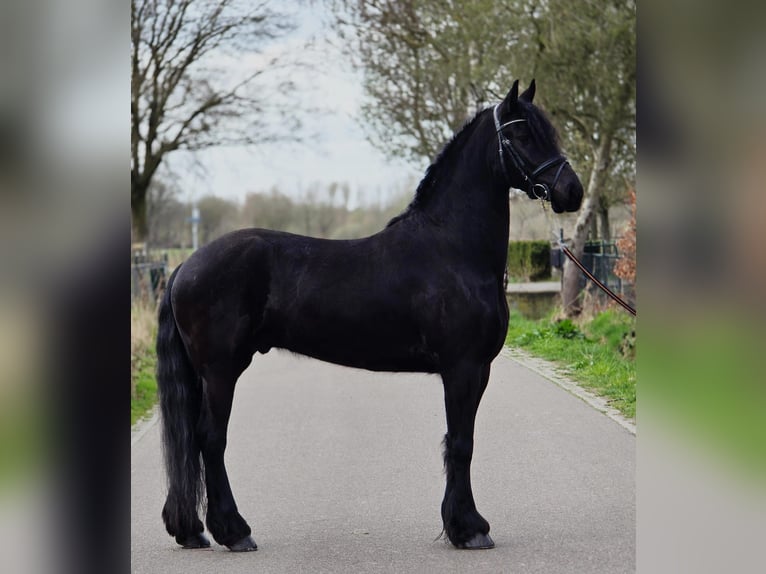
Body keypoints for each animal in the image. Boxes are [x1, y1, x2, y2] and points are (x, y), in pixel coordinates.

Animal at [156, 79, 583, 553]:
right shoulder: (464, 368)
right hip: (220, 370)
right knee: (211, 441)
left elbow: (460, 441)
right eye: (521, 133)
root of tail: (185, 265)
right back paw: (234, 532)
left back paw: (192, 530)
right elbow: (461, 443)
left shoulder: (475, 370)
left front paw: (460, 524)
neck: (453, 249)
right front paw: (469, 528)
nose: (572, 191)